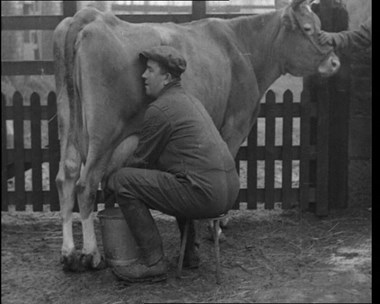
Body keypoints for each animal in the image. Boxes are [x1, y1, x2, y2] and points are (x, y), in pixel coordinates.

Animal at [52, 0, 338, 270]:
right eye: (308, 28)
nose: (334, 61)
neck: (242, 46)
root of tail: (88, 16)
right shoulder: (236, 123)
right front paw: (218, 226)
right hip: (104, 133)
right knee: (85, 184)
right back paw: (91, 255)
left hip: (67, 122)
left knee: (66, 177)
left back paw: (68, 253)